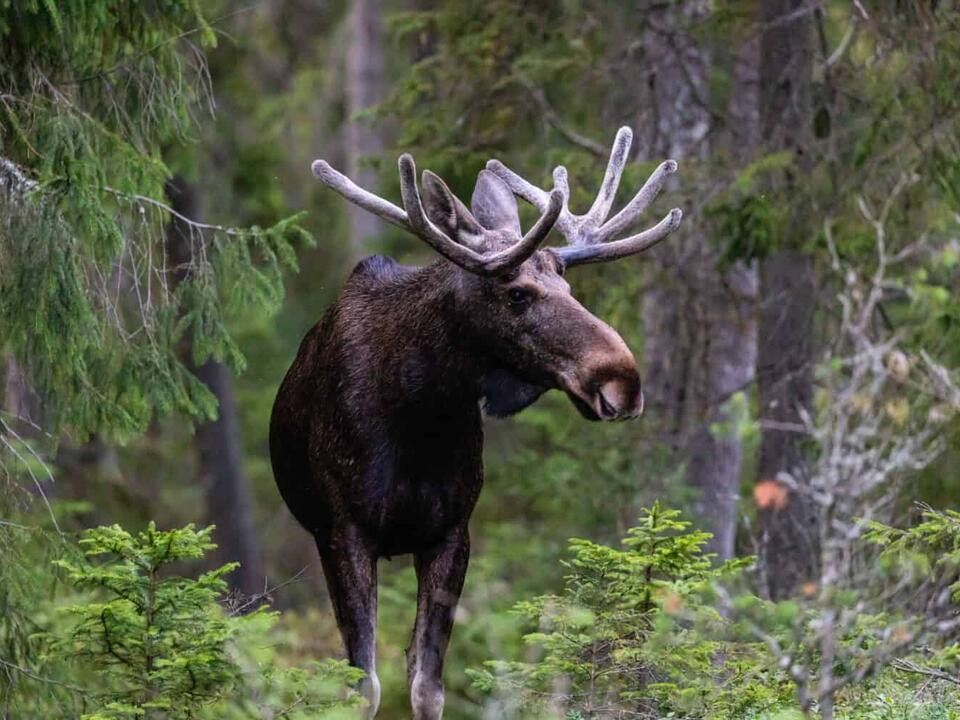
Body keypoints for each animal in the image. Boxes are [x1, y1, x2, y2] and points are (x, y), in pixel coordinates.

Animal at [269, 127, 681, 719]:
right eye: (517, 293)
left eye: (568, 288)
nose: (621, 381)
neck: (419, 412)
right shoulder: (345, 531)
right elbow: (363, 686)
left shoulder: (452, 532)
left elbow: (426, 684)